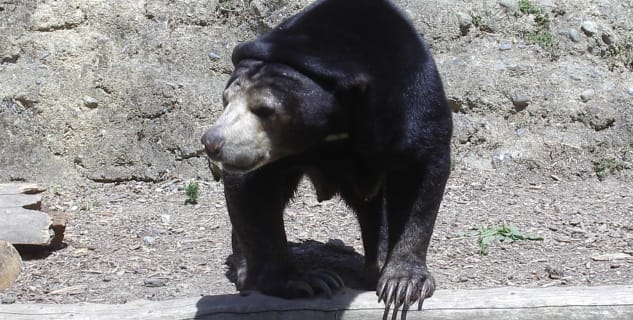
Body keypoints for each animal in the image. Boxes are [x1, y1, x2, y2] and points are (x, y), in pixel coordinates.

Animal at [200, 0, 452, 312]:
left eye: (264, 109)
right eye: (226, 100)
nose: (212, 142)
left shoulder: (414, 103)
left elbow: (421, 174)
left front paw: (404, 283)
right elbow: (252, 189)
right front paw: (305, 281)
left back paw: (376, 266)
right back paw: (245, 271)